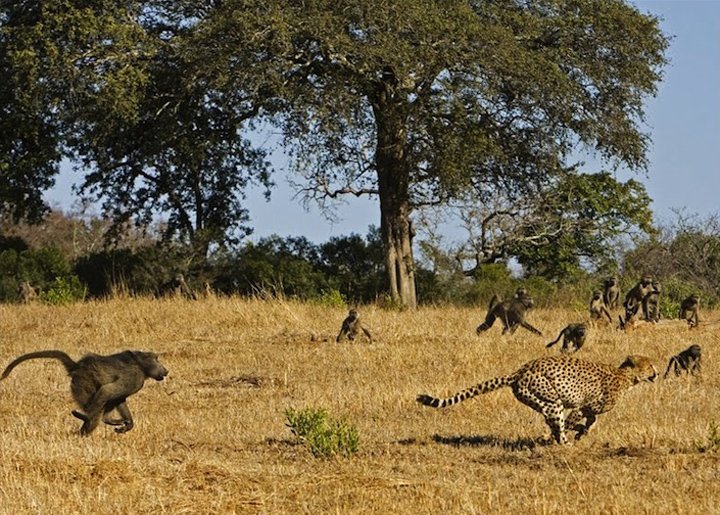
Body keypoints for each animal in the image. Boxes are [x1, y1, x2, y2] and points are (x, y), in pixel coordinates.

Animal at [416, 354, 660, 444]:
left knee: (549, 420)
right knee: (556, 421)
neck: (626, 377)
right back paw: (564, 444)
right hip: (551, 400)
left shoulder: (589, 409)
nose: (657, 373)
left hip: (540, 401)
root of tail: (521, 370)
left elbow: (591, 420)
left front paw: (582, 432)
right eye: (650, 365)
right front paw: (575, 432)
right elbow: (575, 419)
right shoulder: (582, 406)